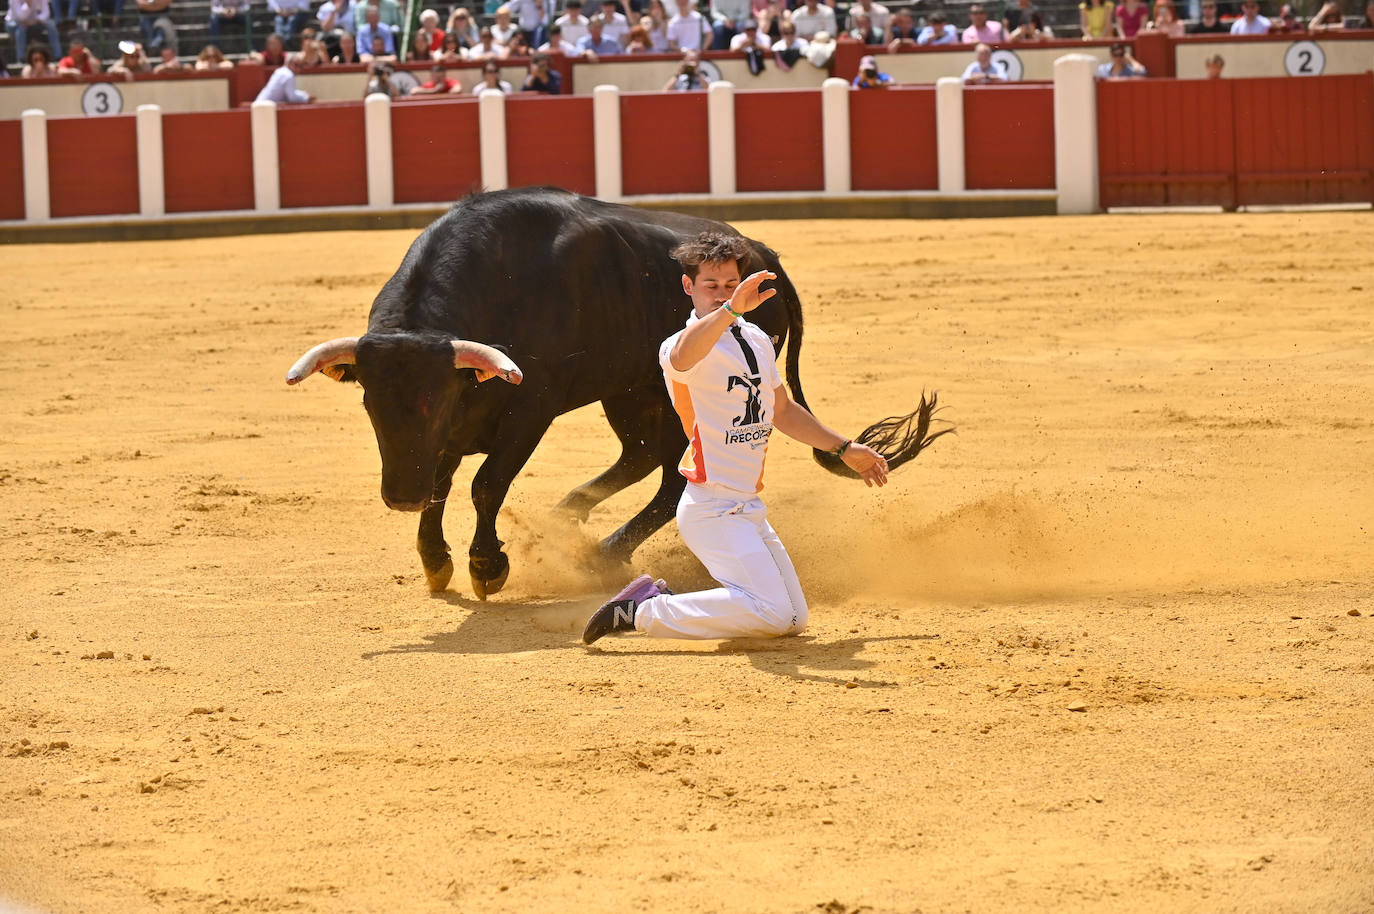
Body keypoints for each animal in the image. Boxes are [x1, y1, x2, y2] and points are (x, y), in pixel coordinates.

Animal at [278, 186, 945, 599]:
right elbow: (445, 482)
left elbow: (485, 483)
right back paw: (565, 521)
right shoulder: (457, 428)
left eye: (435, 399)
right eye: (369, 403)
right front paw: (437, 562)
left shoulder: (529, 406)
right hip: (629, 392)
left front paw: (486, 566)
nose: (400, 496)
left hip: (673, 398)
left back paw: (599, 553)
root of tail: (766, 258)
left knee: (673, 477)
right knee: (642, 457)